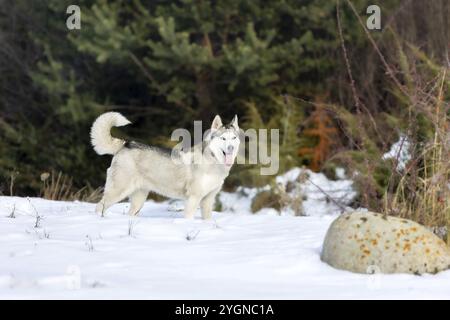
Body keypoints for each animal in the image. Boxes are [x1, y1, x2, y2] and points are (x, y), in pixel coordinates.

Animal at [89, 111, 241, 219]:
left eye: (233, 138)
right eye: (223, 138)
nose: (231, 148)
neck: (213, 161)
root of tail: (125, 144)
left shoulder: (208, 200)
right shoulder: (193, 199)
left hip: (139, 199)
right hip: (118, 191)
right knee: (99, 206)